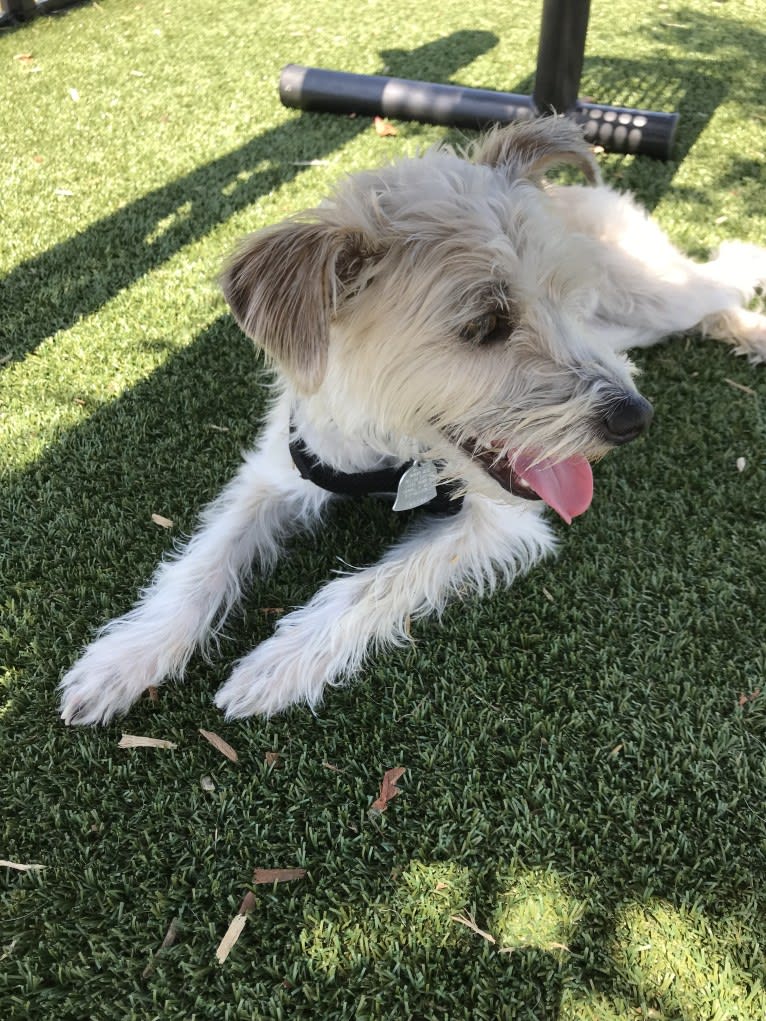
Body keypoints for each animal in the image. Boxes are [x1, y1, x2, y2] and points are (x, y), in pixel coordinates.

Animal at [60, 117, 766, 726]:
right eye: (484, 326)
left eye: (568, 300)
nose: (634, 419)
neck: (387, 451)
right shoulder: (273, 476)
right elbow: (201, 563)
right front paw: (124, 658)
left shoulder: (502, 522)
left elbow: (372, 584)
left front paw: (278, 664)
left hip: (650, 296)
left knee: (718, 282)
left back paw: (749, 322)